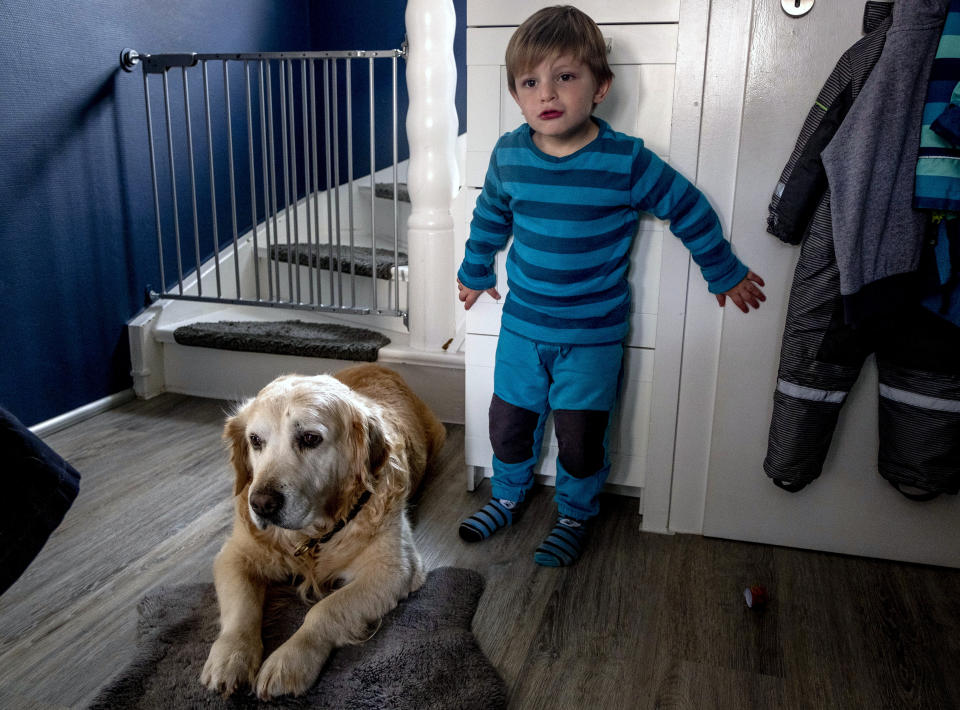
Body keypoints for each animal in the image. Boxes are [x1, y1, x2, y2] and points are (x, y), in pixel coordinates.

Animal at [202, 364, 446, 700]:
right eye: (255, 440)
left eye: (310, 438)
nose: (261, 504)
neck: (313, 535)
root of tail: (382, 366)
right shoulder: (235, 555)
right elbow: (242, 609)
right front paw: (231, 658)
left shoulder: (394, 569)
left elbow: (324, 610)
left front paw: (289, 661)